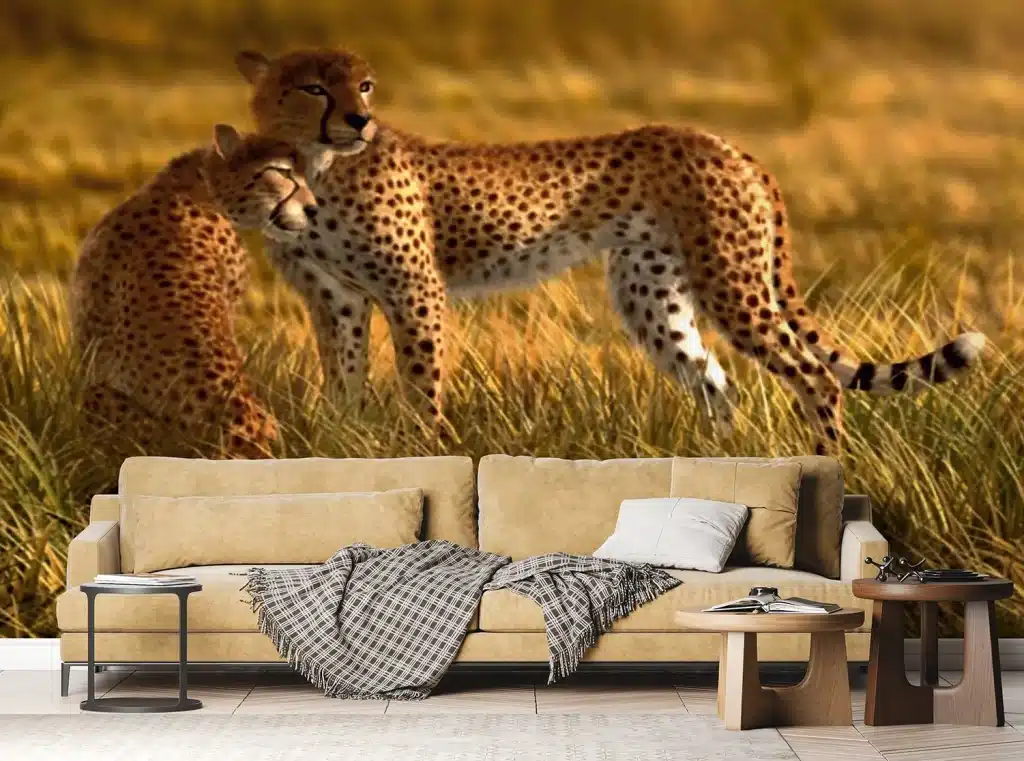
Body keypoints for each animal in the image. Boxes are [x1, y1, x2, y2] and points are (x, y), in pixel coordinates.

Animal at [234, 47, 986, 455]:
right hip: (653, 293)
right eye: (313, 85)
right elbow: (343, 383)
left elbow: (422, 387)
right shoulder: (336, 301)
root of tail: (723, 141)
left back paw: (825, 463)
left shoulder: (414, 289)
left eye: (363, 85)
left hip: (730, 281)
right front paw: (344, 447)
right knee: (715, 380)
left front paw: (423, 450)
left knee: (814, 376)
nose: (359, 119)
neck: (317, 164)